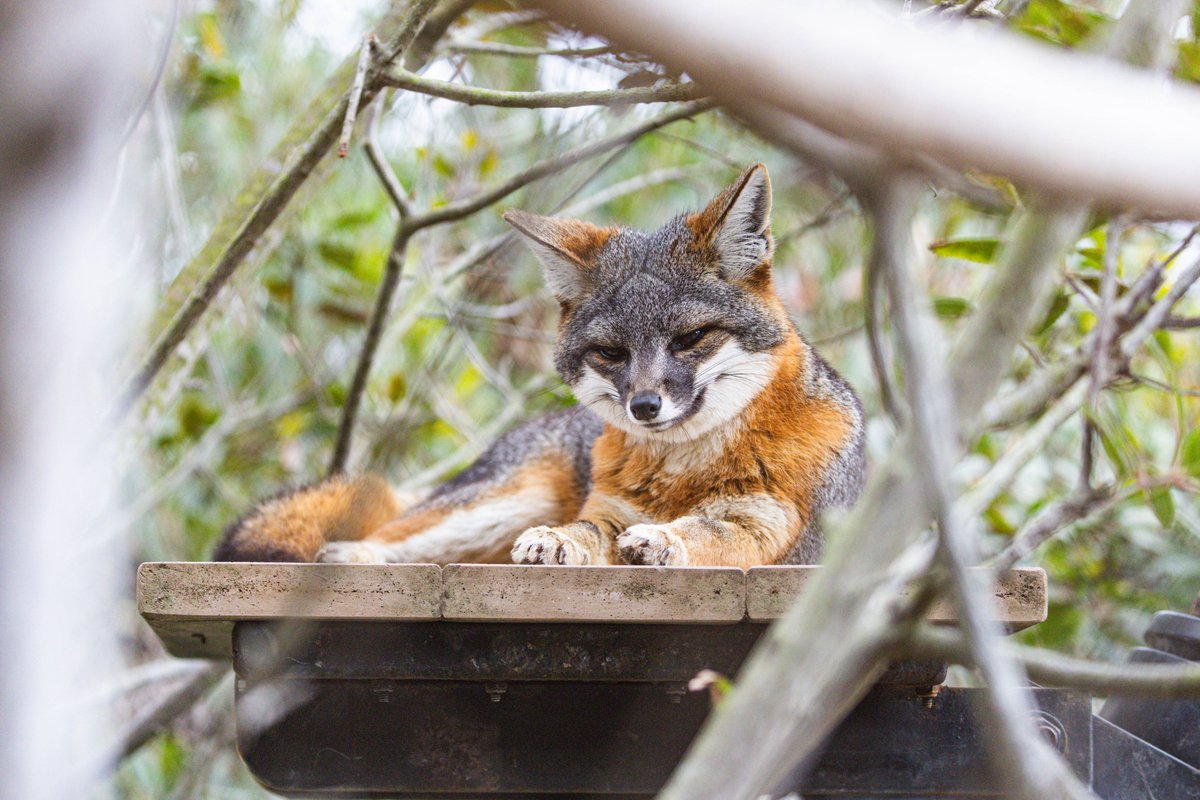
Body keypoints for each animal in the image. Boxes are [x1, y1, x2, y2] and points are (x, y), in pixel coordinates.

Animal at [214, 163, 866, 568]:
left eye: (690, 339)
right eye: (611, 352)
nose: (644, 406)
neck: (682, 473)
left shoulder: (767, 526)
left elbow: (703, 532)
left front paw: (663, 538)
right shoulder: (605, 513)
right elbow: (583, 529)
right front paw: (559, 541)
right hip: (499, 504)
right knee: (395, 536)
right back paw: (351, 555)